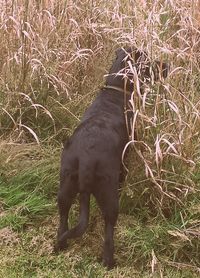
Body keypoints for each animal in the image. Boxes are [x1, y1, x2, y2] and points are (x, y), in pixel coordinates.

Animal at [54, 46, 167, 268]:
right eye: (148, 62)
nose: (166, 66)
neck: (116, 90)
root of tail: (87, 158)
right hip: (109, 195)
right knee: (108, 230)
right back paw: (109, 260)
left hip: (66, 184)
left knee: (63, 218)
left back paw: (60, 245)